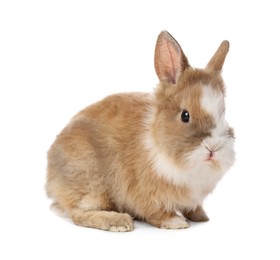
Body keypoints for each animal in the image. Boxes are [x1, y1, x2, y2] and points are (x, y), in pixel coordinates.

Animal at [46, 30, 234, 232]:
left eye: (223, 112)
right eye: (185, 115)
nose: (213, 147)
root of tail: (51, 180)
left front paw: (200, 216)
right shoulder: (145, 192)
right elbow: (156, 211)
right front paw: (175, 222)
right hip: (90, 181)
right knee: (79, 214)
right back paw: (120, 221)